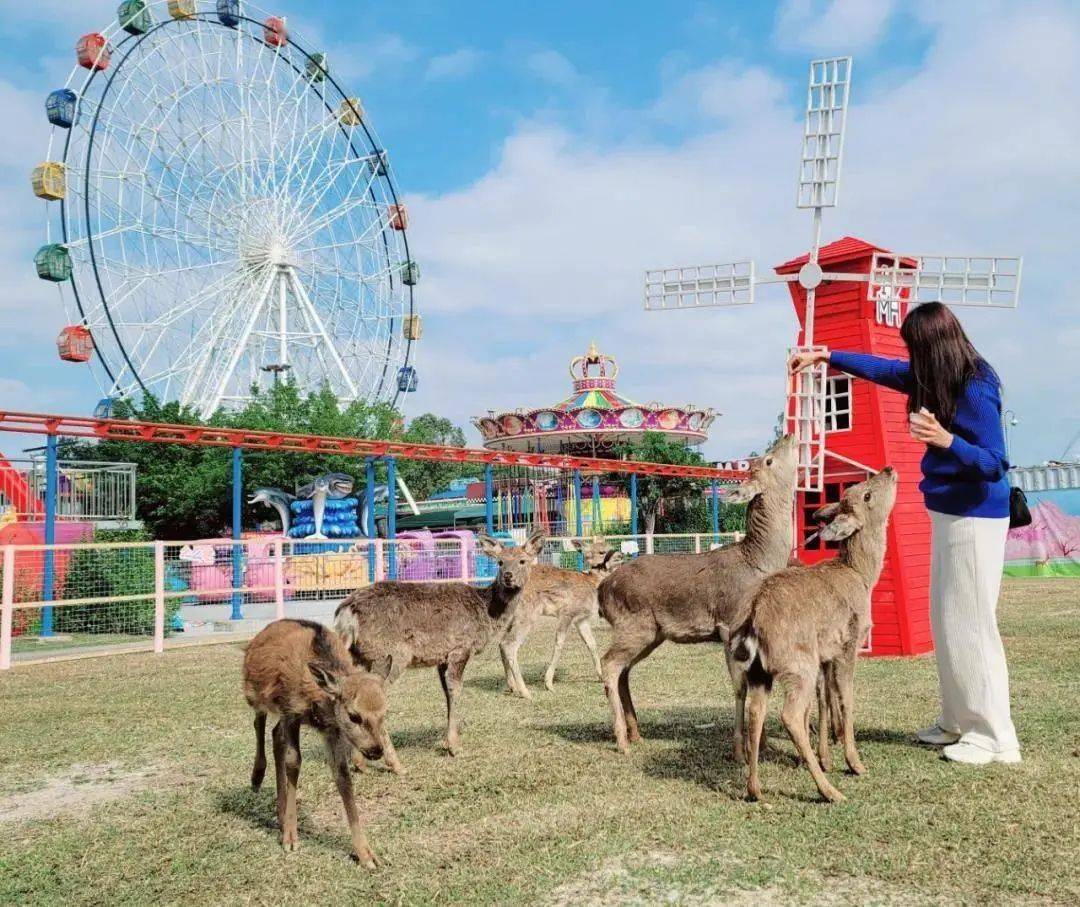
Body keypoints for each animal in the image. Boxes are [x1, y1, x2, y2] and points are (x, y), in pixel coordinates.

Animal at [241, 621, 393, 868]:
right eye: (354, 716)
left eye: (384, 714)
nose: (376, 750)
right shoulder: (291, 711)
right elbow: (294, 762)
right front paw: (290, 838)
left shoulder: (331, 729)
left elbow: (342, 776)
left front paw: (366, 855)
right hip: (255, 693)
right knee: (259, 721)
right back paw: (256, 777)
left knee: (275, 736)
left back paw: (280, 813)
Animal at [332, 526, 544, 768]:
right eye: (500, 562)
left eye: (522, 560)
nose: (508, 576)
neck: (486, 613)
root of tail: (346, 613)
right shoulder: (460, 648)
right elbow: (455, 689)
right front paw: (454, 747)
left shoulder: (442, 657)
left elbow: (445, 693)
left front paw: (447, 742)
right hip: (389, 655)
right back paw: (394, 764)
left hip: (358, 657)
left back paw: (358, 762)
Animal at [498, 535, 626, 699]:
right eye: (601, 552)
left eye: (611, 545)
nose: (620, 555)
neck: (591, 584)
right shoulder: (567, 613)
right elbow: (559, 644)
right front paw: (549, 684)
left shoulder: (581, 619)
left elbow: (591, 643)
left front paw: (601, 676)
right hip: (527, 614)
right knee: (509, 644)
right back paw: (526, 692)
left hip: (511, 618)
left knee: (501, 642)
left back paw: (512, 686)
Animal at [596, 429, 799, 751]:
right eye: (768, 459)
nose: (790, 435)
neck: (757, 563)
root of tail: (602, 589)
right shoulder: (729, 624)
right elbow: (740, 687)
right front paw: (739, 748)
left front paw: (762, 742)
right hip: (634, 624)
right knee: (609, 664)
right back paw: (622, 740)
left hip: (651, 634)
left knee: (623, 670)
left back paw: (635, 732)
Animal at [730, 468, 898, 799]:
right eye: (866, 494)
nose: (888, 470)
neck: (861, 577)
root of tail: (753, 618)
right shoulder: (848, 644)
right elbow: (846, 697)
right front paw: (854, 762)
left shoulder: (826, 653)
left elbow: (825, 698)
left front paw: (828, 755)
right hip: (797, 663)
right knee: (790, 715)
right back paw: (829, 791)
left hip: (759, 670)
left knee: (757, 710)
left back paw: (755, 789)